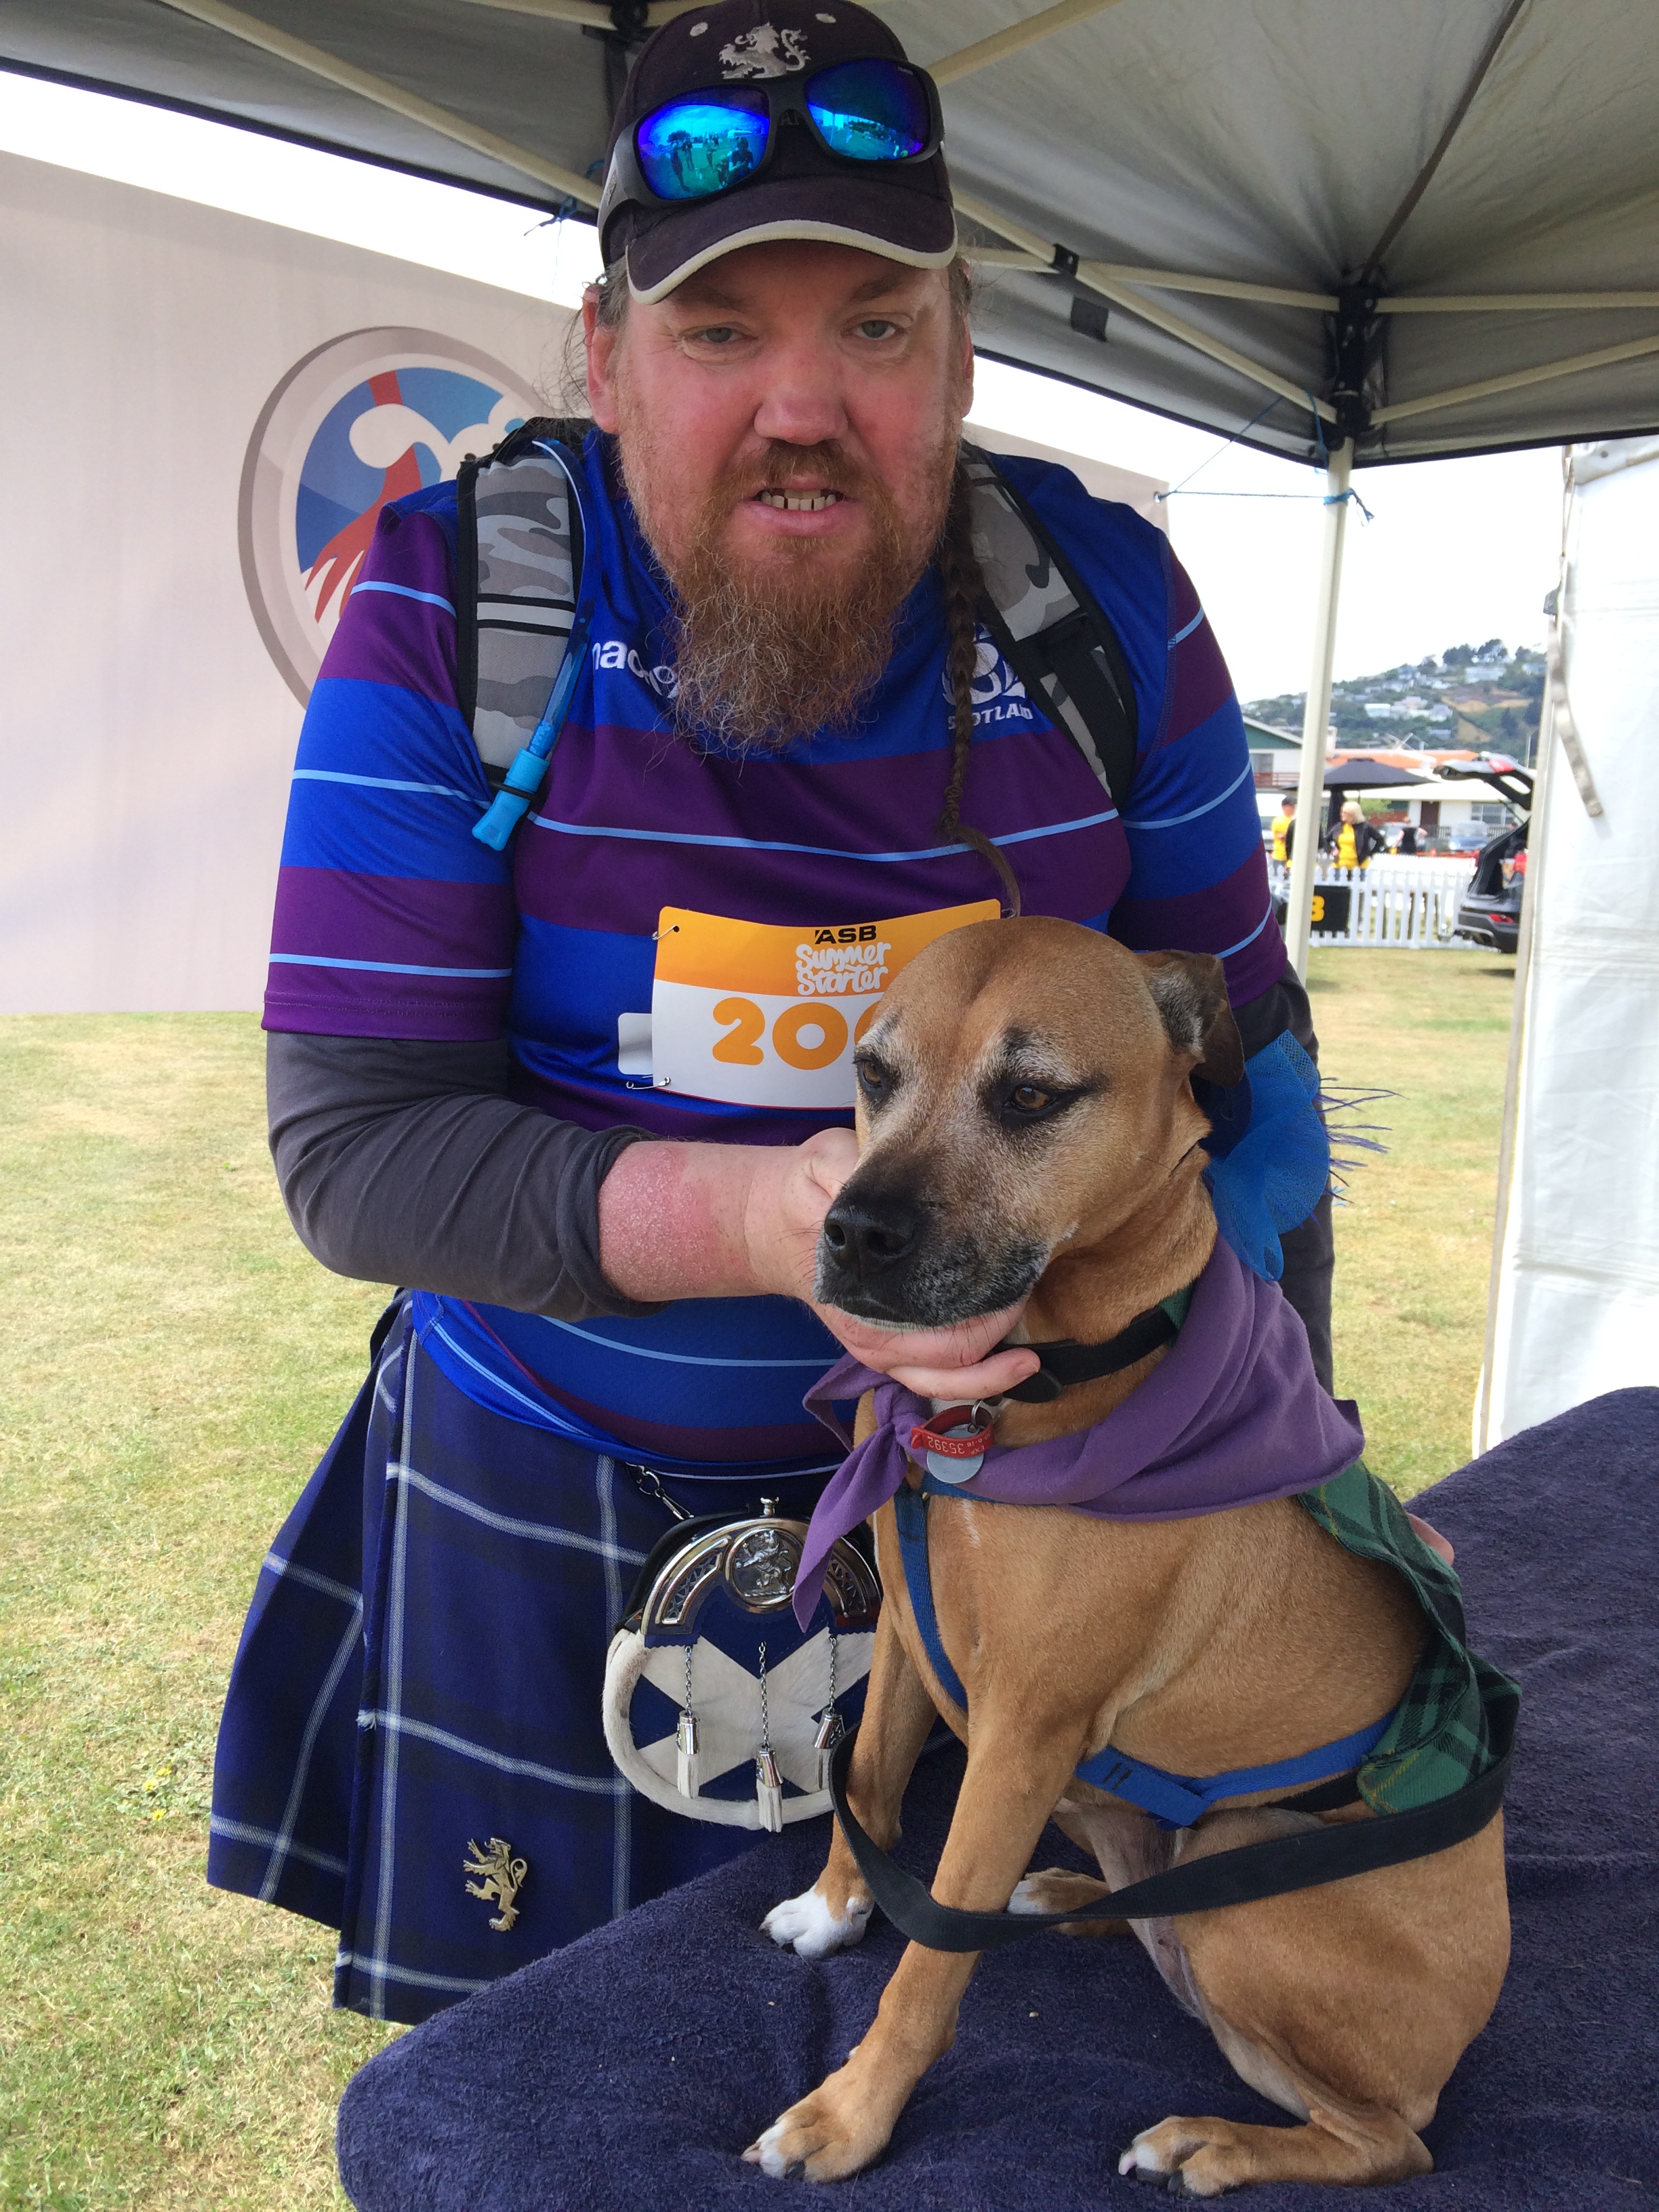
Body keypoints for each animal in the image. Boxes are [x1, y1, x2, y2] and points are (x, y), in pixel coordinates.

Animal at [745, 916, 1509, 2195]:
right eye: (873, 1073)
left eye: (1031, 1095)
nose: (850, 1234)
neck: (1016, 1401)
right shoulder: (909, 1625)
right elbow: (873, 1784)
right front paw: (835, 1904)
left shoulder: (1024, 1727)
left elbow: (935, 1948)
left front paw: (850, 2114)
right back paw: (1074, 1889)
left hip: (1246, 1867)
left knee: (1388, 2139)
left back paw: (1214, 2139)